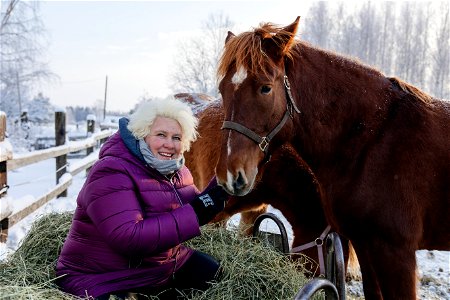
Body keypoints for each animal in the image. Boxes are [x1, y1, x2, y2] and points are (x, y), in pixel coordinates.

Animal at [214, 17, 450, 300]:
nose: (229, 175)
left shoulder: (397, 254)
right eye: (222, 89)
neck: (374, 140)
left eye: (265, 88)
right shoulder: (366, 246)